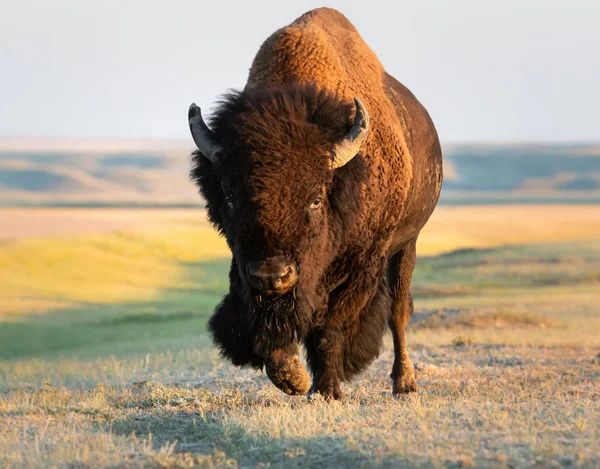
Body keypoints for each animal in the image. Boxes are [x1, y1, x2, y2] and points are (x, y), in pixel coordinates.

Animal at [190, 7, 442, 398]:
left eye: (316, 198)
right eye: (230, 198)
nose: (274, 275)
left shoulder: (359, 266)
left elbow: (331, 328)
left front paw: (326, 389)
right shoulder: (245, 270)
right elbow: (262, 322)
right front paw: (293, 377)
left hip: (406, 244)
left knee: (398, 310)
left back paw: (405, 382)